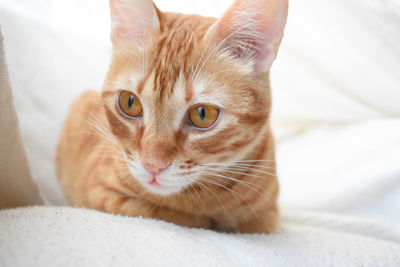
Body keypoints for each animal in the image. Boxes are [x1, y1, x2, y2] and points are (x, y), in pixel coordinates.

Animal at [56, 0, 288, 234]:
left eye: (202, 114)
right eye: (130, 103)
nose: (152, 166)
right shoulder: (101, 192)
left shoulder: (267, 217)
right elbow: (174, 216)